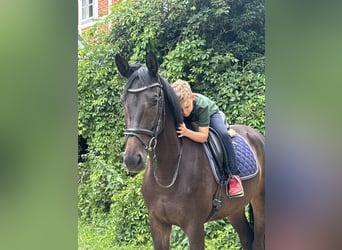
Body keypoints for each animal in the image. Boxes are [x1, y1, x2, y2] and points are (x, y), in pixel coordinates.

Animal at [115, 51, 264, 249]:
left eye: (155, 100)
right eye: (122, 101)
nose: (132, 159)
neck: (168, 174)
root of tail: (258, 136)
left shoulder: (194, 226)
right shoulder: (158, 224)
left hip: (260, 203)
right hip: (235, 208)